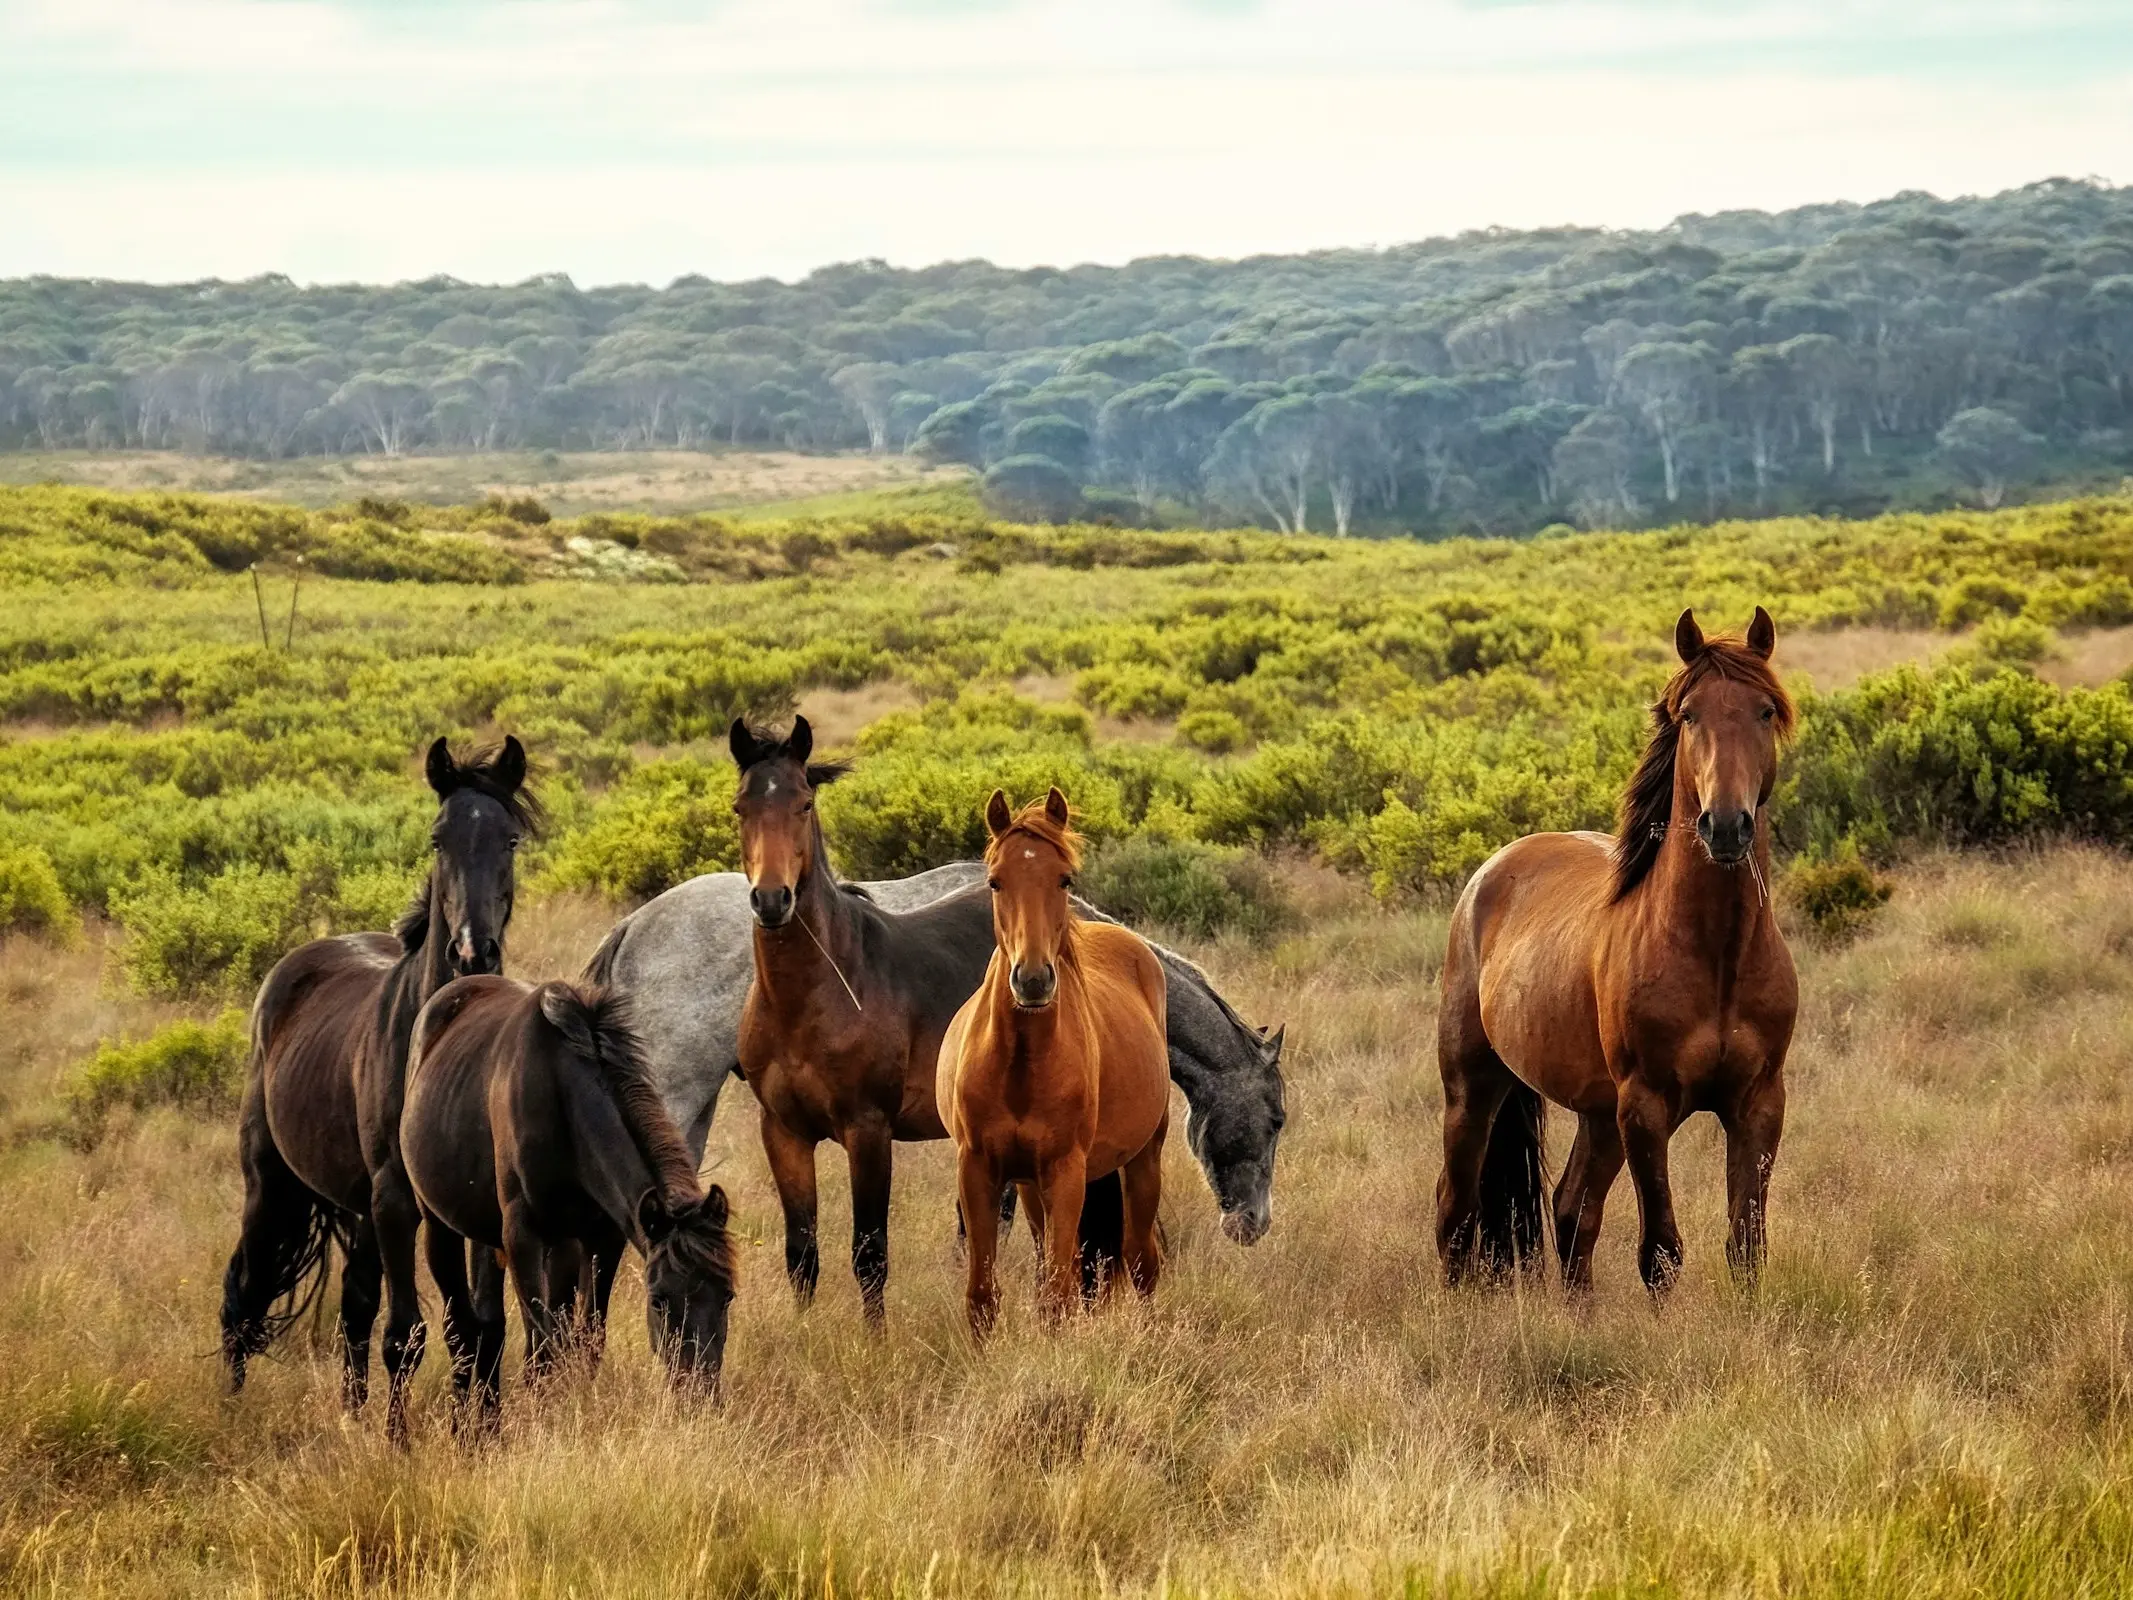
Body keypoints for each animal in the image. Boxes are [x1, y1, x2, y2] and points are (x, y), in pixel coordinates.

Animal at [216, 738, 541, 1416]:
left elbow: (480, 1328)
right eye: (438, 838)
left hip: (356, 1209)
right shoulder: (394, 1201)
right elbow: (409, 1335)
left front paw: (481, 1425)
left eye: (510, 839)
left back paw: (352, 1412)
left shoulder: (471, 1205)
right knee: (245, 1292)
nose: (472, 952)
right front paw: (403, 1437)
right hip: (272, 1186)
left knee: (354, 1307)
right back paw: (230, 1408)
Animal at [403, 977, 738, 1425]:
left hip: (529, 1241)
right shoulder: (522, 1237)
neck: (562, 1097)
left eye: (727, 1296)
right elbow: (541, 1351)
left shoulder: (603, 1238)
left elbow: (585, 1342)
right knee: (460, 1331)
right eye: (658, 1300)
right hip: (440, 1227)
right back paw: (465, 1428)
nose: (699, 1397)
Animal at [942, 793, 1177, 1339]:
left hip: (1142, 1159)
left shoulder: (1066, 1170)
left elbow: (1056, 1296)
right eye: (995, 880)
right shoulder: (978, 1169)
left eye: (1064, 878)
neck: (1019, 1065)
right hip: (1032, 1187)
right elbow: (983, 1295)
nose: (1032, 980)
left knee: (1141, 1261)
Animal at [1433, 605, 1800, 1297]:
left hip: (1597, 1113)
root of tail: (1491, 871)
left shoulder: (1759, 1104)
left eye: (1765, 710)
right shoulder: (1646, 1109)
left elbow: (1747, 1246)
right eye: (1690, 715)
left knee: (1571, 1210)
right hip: (1473, 1088)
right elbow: (1660, 1252)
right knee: (1456, 1210)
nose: (1726, 826)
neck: (1716, 955)